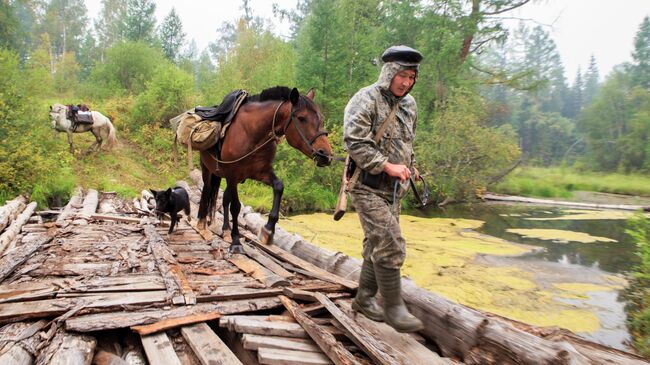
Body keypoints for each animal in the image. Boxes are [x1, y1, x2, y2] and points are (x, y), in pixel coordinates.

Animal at [196, 85, 332, 252]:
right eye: (301, 118)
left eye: (321, 118)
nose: (326, 155)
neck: (251, 133)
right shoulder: (232, 175)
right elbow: (236, 207)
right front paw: (236, 241)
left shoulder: (260, 173)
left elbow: (279, 186)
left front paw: (268, 230)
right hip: (209, 170)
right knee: (207, 191)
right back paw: (202, 225)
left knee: (225, 198)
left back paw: (226, 230)